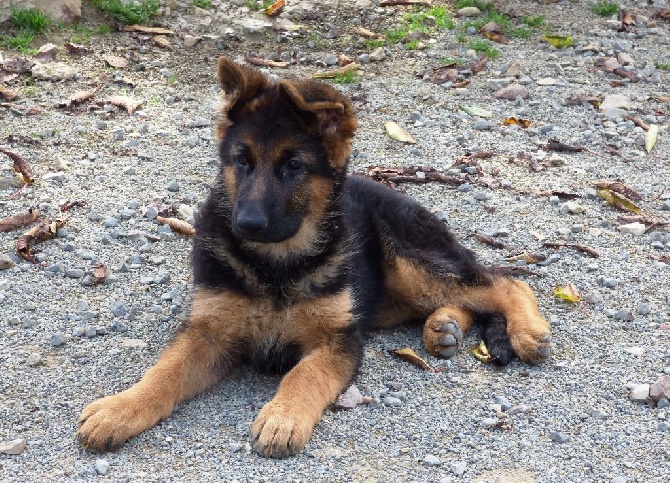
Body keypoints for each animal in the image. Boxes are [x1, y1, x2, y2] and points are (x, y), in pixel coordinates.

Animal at [77, 55, 552, 458]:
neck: (276, 264)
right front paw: (119, 409)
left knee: (503, 281)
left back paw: (526, 331)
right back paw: (444, 327)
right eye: (242, 161)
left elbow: (304, 374)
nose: (246, 224)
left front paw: (282, 418)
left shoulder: (337, 340)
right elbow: (164, 373)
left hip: (412, 263)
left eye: (293, 166)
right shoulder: (208, 332)